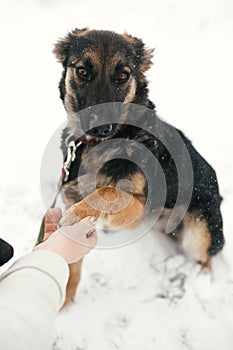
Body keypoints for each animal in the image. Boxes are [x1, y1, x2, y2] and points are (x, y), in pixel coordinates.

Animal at [52, 28, 224, 304]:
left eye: (123, 75)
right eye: (82, 71)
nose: (102, 127)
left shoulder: (138, 205)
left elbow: (106, 191)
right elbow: (72, 261)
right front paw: (66, 296)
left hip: (199, 231)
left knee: (206, 259)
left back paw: (200, 280)